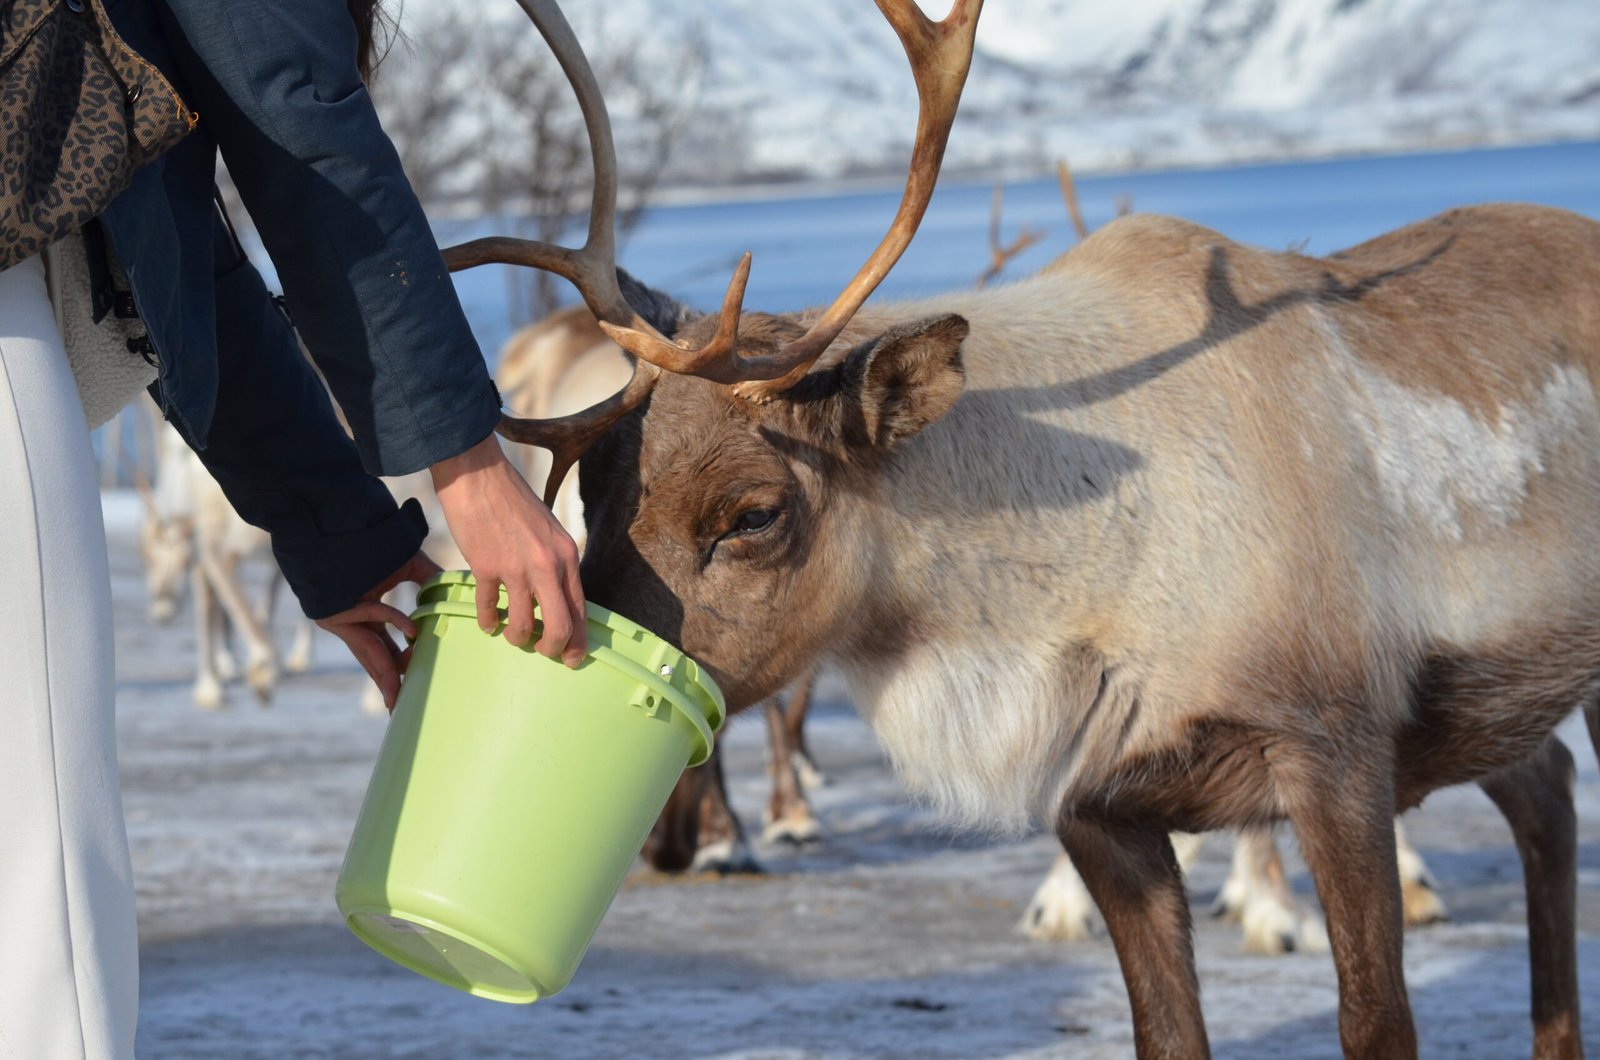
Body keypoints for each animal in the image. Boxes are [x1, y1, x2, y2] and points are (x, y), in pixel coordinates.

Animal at [443, 1, 1600, 1056]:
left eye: (754, 513)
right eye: (589, 486)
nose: (667, 844)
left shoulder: (1337, 746)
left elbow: (1375, 1020)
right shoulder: (1101, 809)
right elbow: (1163, 1031)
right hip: (1486, 707)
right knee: (1546, 791)